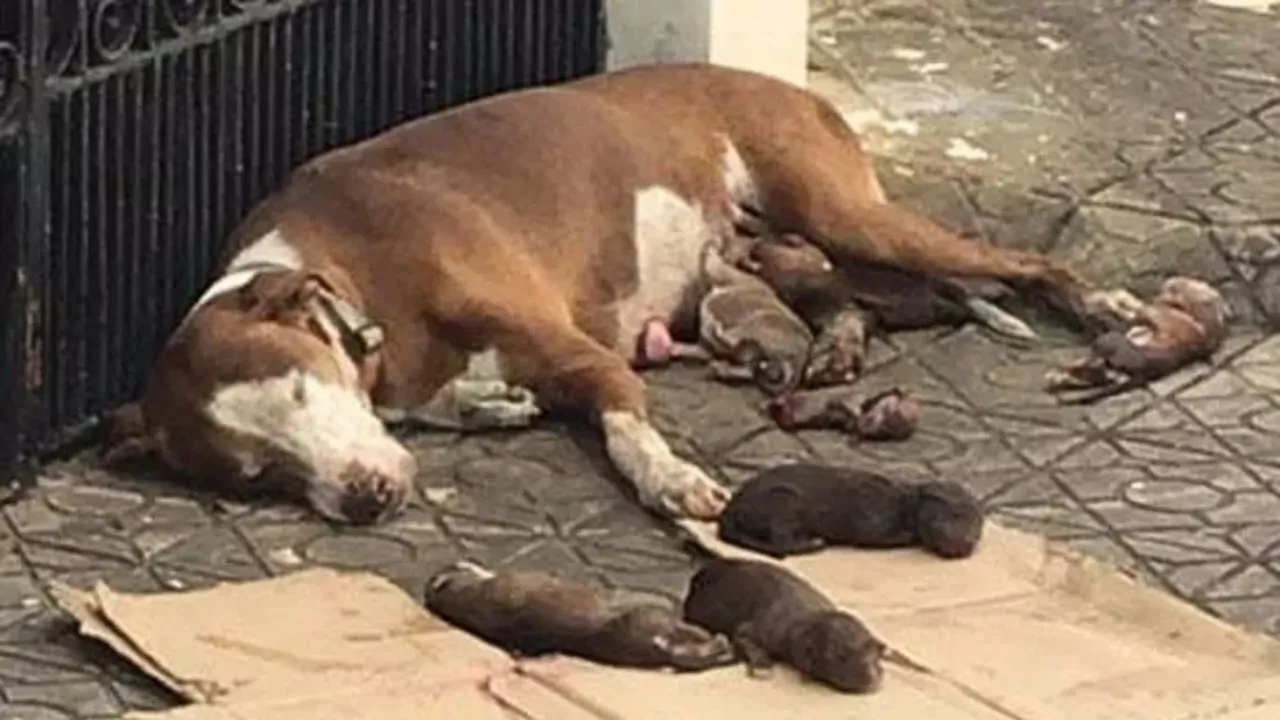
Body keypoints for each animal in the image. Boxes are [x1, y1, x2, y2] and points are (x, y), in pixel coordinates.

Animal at [99, 61, 1085, 520]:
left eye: (306, 392)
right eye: (258, 476)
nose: (366, 498)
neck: (361, 289)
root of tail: (792, 89)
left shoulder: (582, 354)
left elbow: (625, 426)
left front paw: (673, 480)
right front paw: (491, 405)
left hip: (845, 212)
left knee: (1025, 266)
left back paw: (1100, 313)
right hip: (812, 249)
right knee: (862, 299)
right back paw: (839, 348)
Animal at [424, 558, 737, 671]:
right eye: (455, 568)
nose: (460, 560)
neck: (473, 596)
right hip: (655, 617)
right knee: (693, 641)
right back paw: (721, 642)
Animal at [721, 461, 977, 558]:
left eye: (976, 526)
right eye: (953, 515)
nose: (965, 542)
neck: (903, 503)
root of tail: (731, 508)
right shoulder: (873, 519)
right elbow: (876, 536)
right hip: (783, 500)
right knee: (781, 542)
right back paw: (812, 543)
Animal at [1049, 274, 1228, 404]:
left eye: (1177, 287)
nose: (1170, 281)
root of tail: (1140, 372)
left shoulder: (1152, 312)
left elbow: (1135, 309)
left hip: (1109, 343)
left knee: (1088, 365)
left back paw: (1059, 373)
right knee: (1091, 374)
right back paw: (1057, 377)